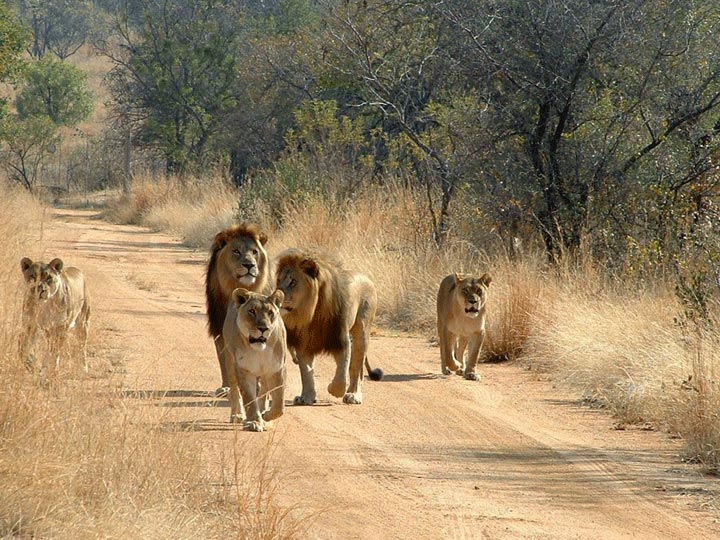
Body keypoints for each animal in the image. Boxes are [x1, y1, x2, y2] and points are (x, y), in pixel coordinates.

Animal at [205, 223, 270, 395]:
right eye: (236, 251)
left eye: (254, 252)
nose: (249, 265)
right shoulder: (219, 326)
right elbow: (223, 357)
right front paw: (226, 386)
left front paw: (257, 386)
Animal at [223, 288, 288, 431]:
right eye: (252, 311)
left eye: (270, 313)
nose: (263, 328)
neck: (260, 350)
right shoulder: (244, 370)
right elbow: (249, 398)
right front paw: (254, 422)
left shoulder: (277, 369)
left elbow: (279, 404)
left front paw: (266, 416)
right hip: (230, 362)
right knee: (235, 391)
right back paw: (237, 415)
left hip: (264, 373)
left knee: (264, 390)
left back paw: (263, 412)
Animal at [275, 248, 383, 406]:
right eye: (278, 281)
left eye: (293, 282)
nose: (275, 295)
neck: (312, 313)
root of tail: (367, 278)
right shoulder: (304, 343)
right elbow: (306, 372)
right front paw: (306, 397)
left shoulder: (340, 339)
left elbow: (342, 372)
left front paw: (334, 390)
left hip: (362, 330)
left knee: (357, 367)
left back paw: (354, 395)